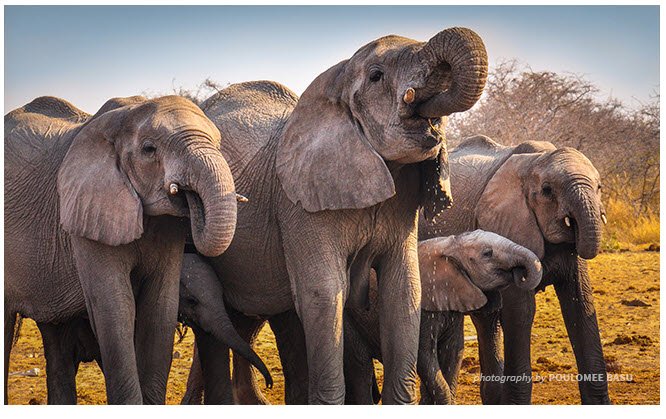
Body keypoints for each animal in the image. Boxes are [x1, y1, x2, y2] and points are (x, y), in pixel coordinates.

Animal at [4, 95, 238, 404]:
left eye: (219, 143)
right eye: (149, 149)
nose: (186, 194)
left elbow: (159, 305)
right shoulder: (87, 211)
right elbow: (115, 305)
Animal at [343, 230, 542, 404]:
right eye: (487, 253)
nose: (519, 273)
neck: (449, 246)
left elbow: (453, 352)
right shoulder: (421, 309)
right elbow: (424, 356)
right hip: (350, 322)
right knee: (360, 369)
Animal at [419, 135, 609, 404]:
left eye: (599, 187)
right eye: (547, 190)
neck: (537, 160)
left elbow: (580, 305)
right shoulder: (506, 221)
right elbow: (521, 311)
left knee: (487, 318)